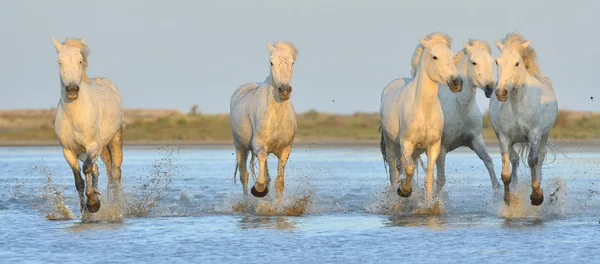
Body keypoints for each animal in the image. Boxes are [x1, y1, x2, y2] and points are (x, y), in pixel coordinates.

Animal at [380, 32, 464, 204]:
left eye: (452, 57)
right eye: (435, 57)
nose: (457, 83)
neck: (423, 110)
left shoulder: (433, 147)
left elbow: (429, 179)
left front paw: (428, 205)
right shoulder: (406, 144)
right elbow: (409, 170)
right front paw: (404, 191)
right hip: (391, 145)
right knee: (393, 175)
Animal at [432, 39, 502, 192]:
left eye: (492, 62)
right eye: (474, 62)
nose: (489, 88)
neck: (461, 108)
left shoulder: (475, 139)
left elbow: (488, 162)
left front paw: (498, 189)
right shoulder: (442, 148)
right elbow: (440, 180)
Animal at [492, 33, 556, 206]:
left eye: (517, 63)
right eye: (497, 61)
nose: (501, 92)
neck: (517, 104)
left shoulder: (534, 134)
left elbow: (533, 161)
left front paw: (537, 196)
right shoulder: (504, 138)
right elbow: (506, 172)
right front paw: (508, 199)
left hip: (544, 136)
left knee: (540, 158)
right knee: (514, 159)